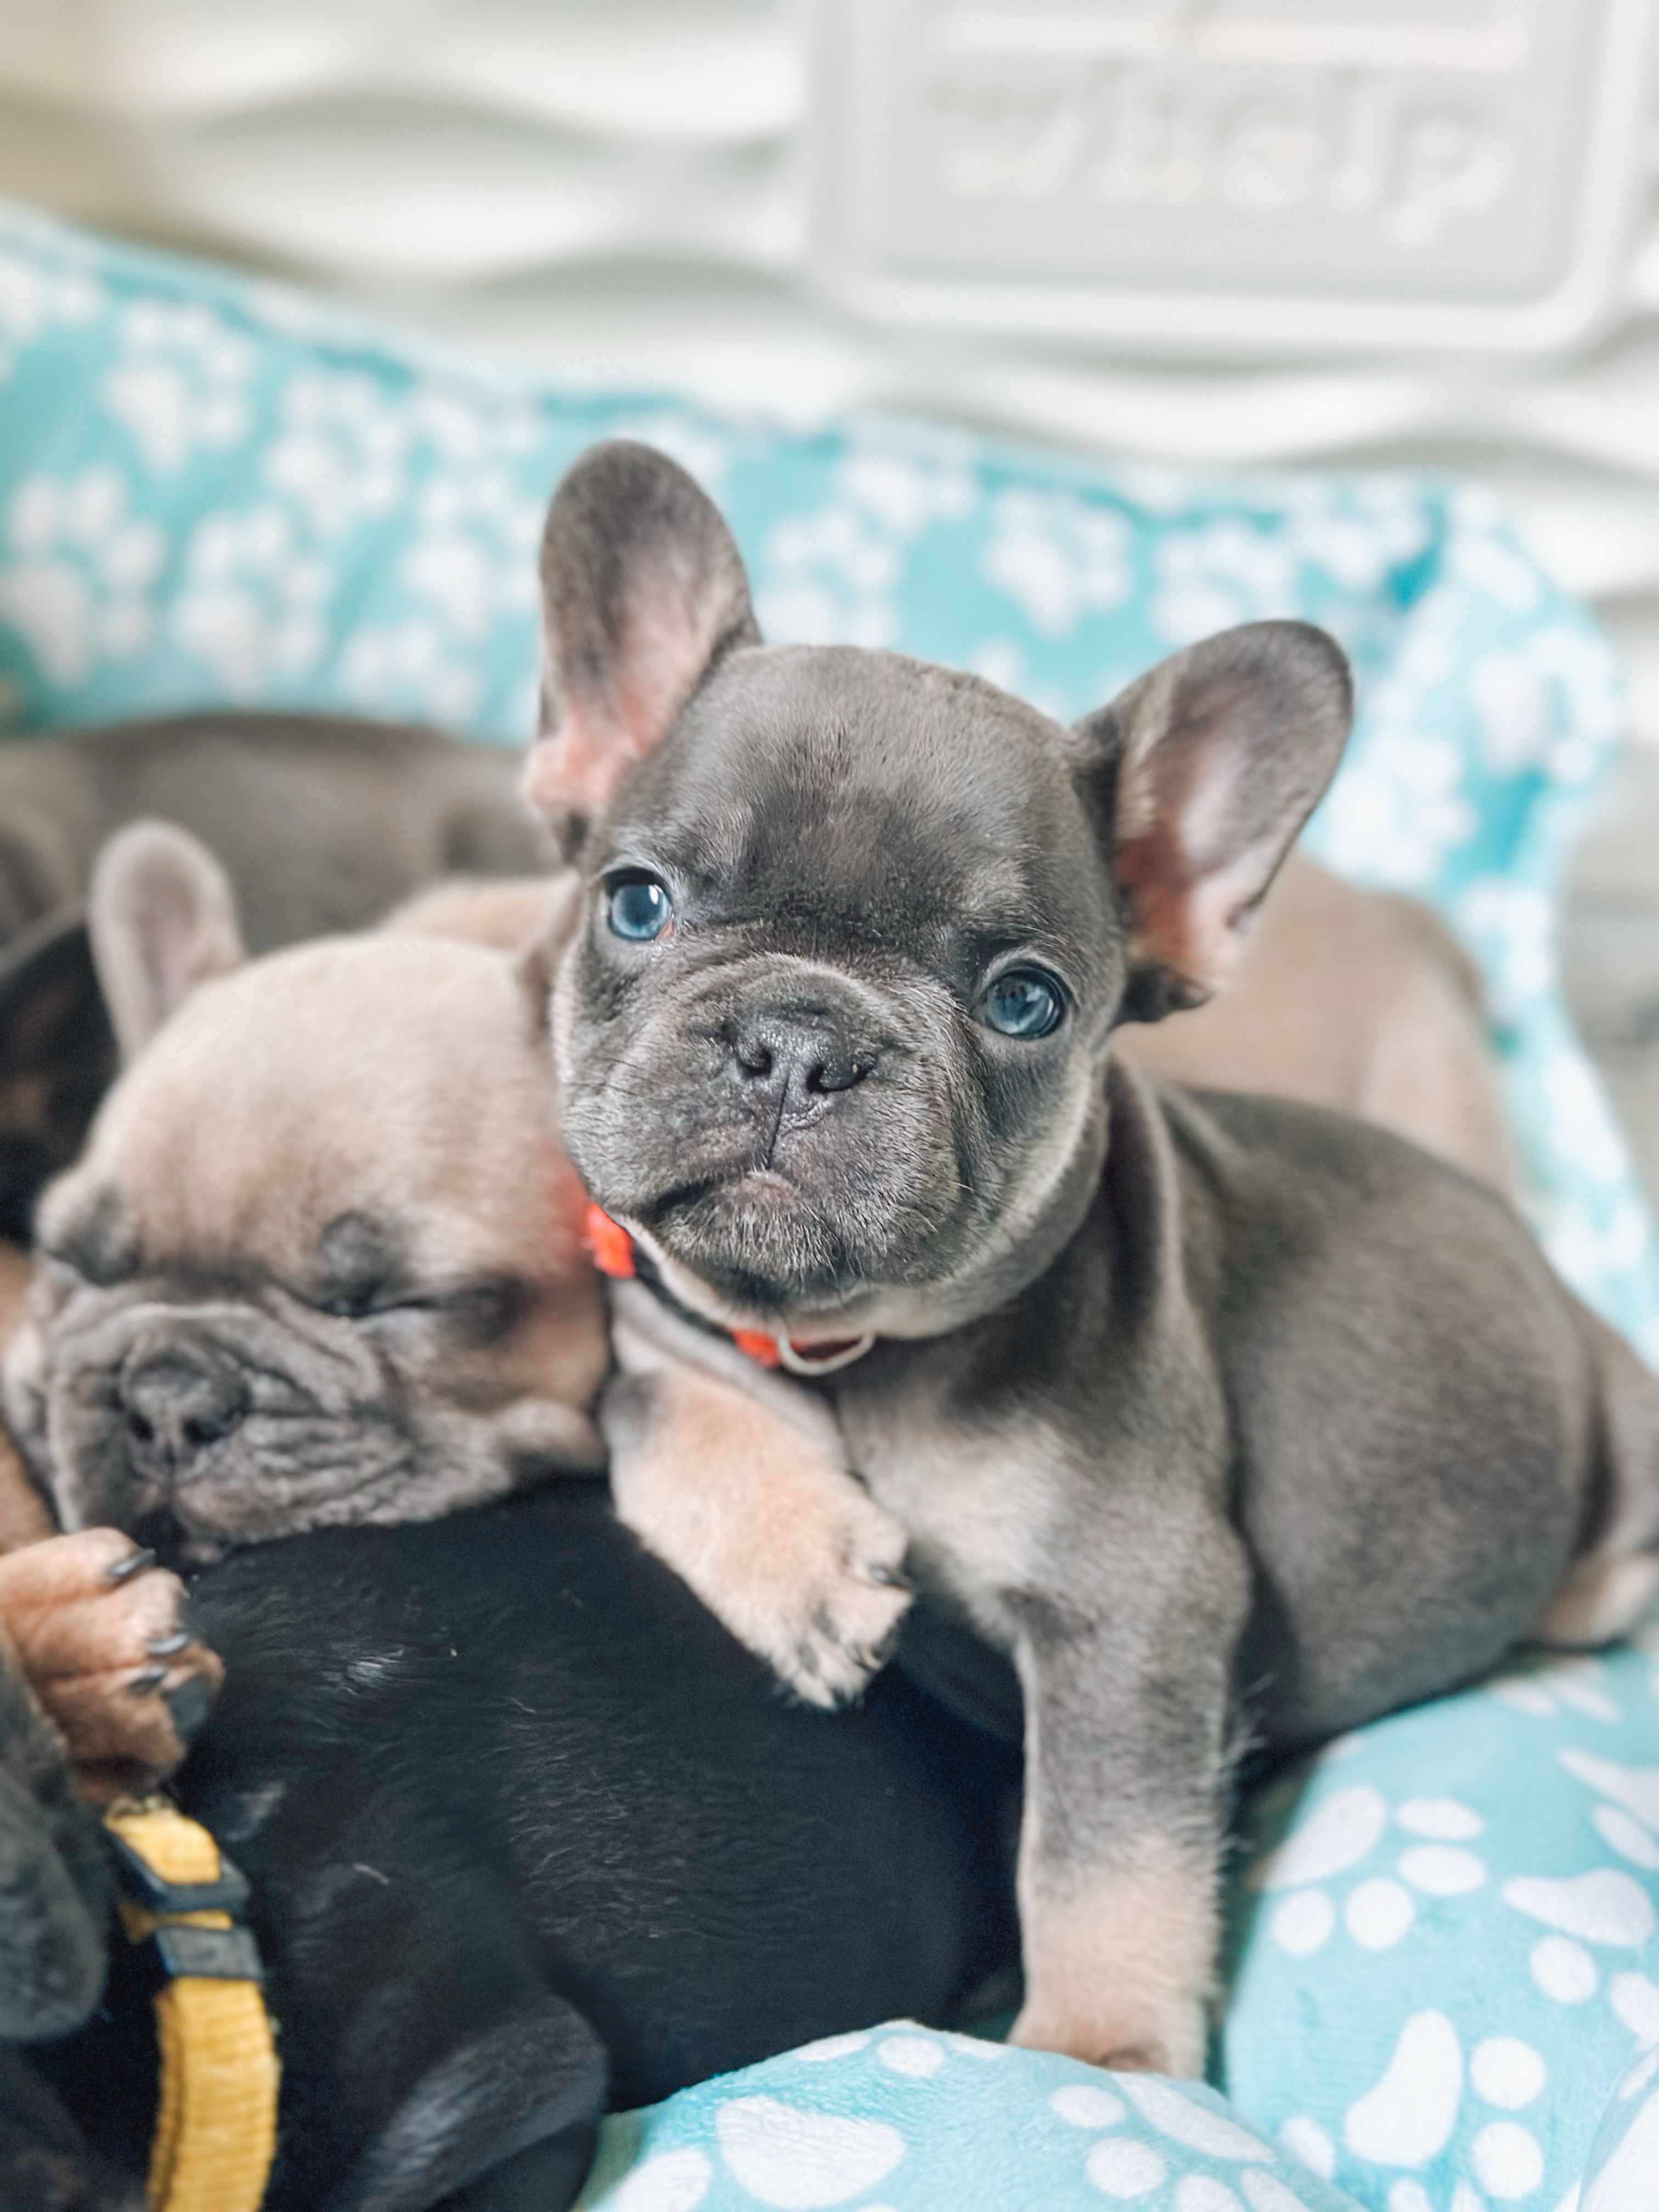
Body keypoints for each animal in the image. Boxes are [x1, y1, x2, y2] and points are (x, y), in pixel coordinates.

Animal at [522, 439, 1659, 2078]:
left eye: (1025, 1002)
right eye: (636, 903)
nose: (798, 1041)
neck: (857, 1349)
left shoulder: (1135, 1608)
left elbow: (1098, 1853)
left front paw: (1099, 2056)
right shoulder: (668, 1305)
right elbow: (651, 1395)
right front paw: (795, 1561)